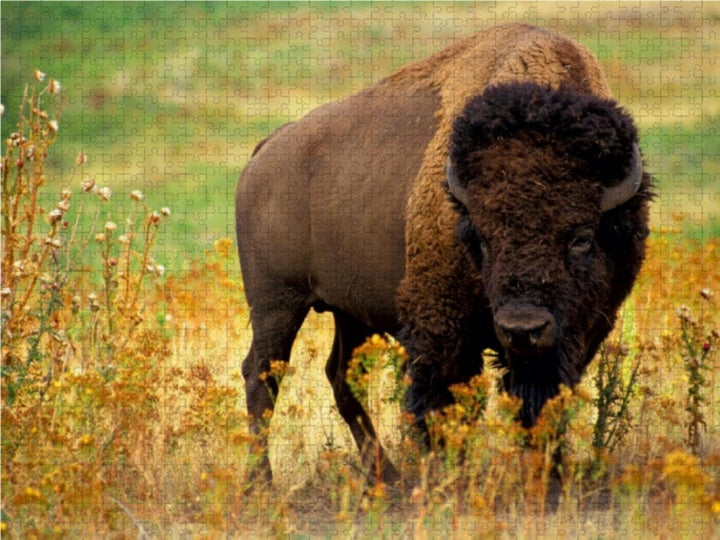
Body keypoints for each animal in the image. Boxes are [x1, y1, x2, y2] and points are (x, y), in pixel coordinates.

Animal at [235, 23, 652, 483]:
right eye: (482, 238)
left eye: (581, 237)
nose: (522, 327)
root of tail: (266, 150)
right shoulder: (442, 329)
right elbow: (442, 404)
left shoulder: (577, 334)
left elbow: (542, 401)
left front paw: (548, 475)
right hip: (276, 303)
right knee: (262, 376)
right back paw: (261, 482)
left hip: (348, 311)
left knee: (341, 376)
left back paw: (386, 477)